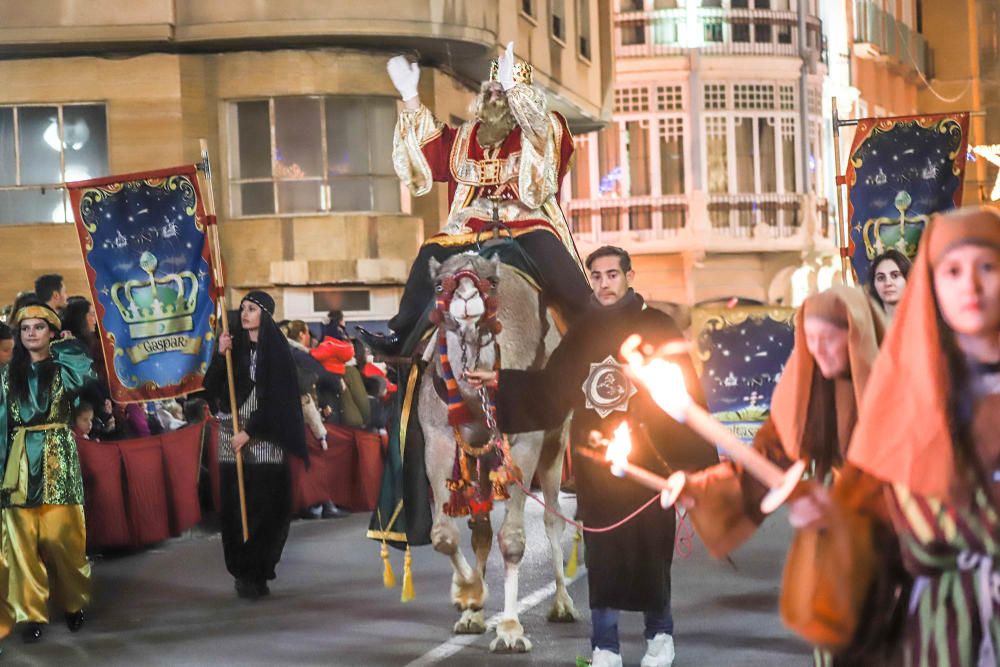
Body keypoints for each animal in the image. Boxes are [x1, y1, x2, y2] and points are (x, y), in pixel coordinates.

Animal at [418, 252, 580, 652]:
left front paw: (510, 630)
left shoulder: (525, 443)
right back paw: (473, 615)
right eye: (439, 285)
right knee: (480, 528)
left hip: (555, 443)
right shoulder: (438, 439)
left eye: (491, 282)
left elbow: (514, 539)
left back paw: (563, 604)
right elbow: (443, 534)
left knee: (553, 517)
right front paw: (470, 595)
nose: (465, 297)